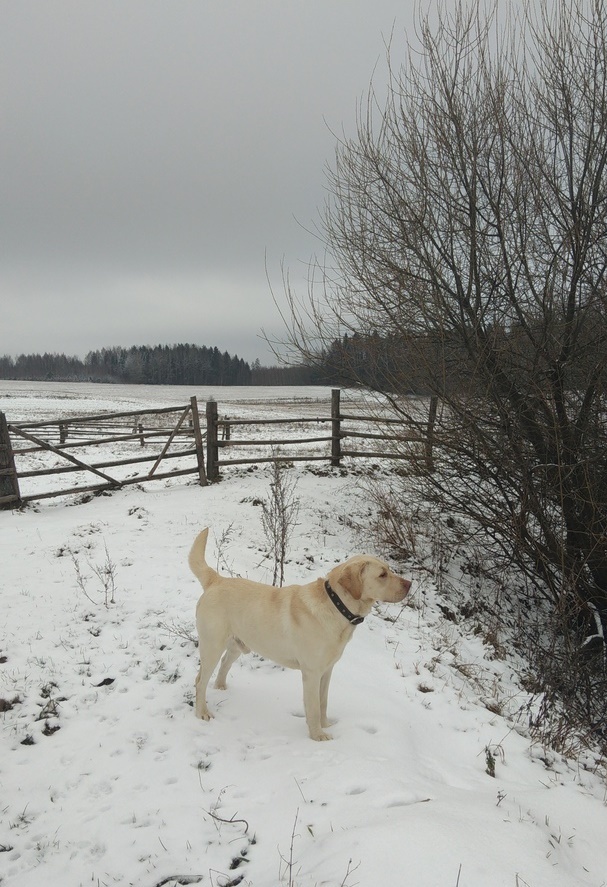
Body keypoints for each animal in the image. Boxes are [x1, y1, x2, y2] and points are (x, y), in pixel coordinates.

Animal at [190, 528, 410, 744]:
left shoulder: (327, 670)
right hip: (212, 646)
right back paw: (202, 712)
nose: (409, 584)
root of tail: (217, 579)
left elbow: (323, 702)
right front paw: (318, 735)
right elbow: (313, 707)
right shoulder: (311, 672)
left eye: (389, 570)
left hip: (237, 644)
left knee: (223, 665)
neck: (336, 605)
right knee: (200, 680)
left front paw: (326, 725)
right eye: (382, 575)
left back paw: (221, 687)